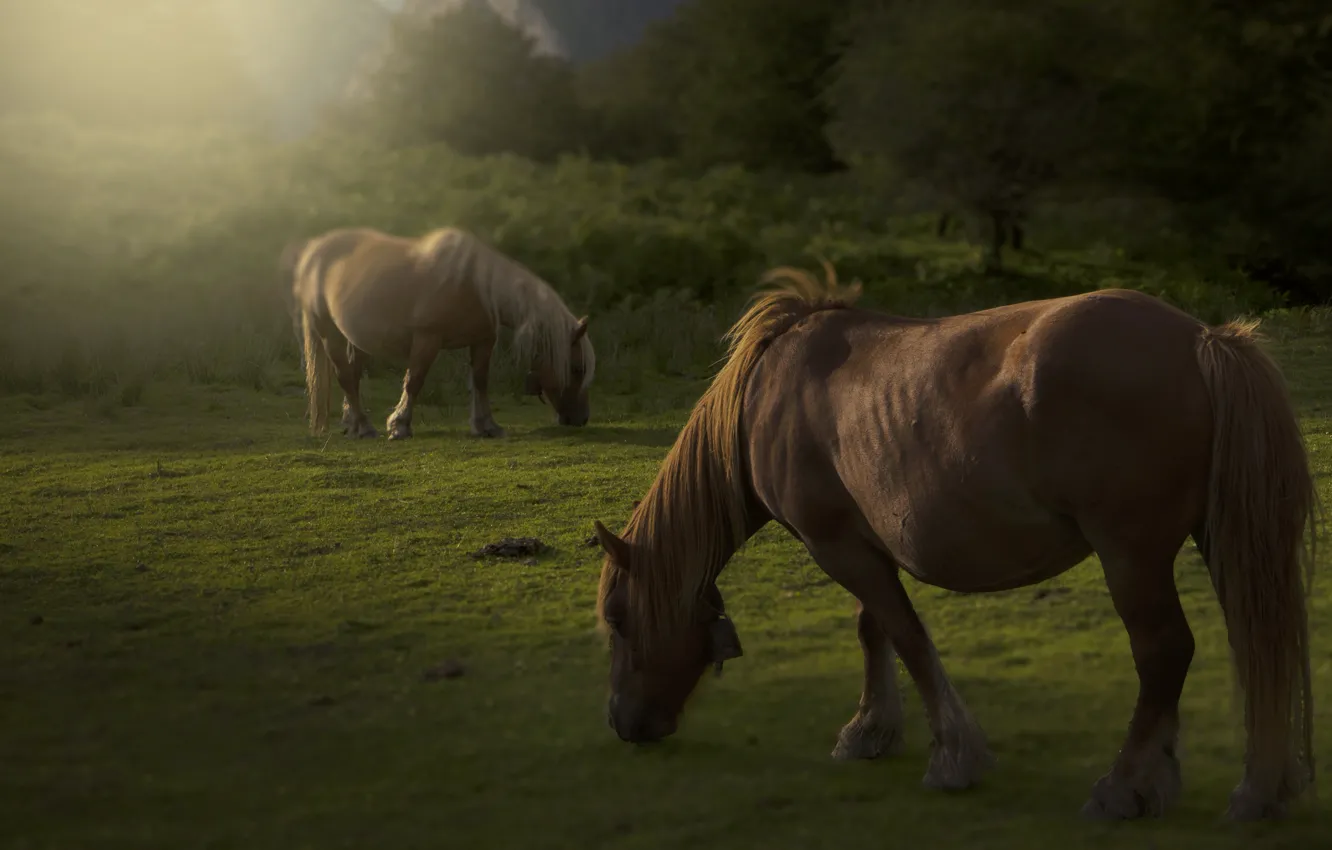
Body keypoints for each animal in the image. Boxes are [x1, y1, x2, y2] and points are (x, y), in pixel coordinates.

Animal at [282, 226, 595, 440]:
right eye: (577, 368)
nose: (580, 419)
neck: (473, 283)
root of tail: (315, 251)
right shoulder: (427, 340)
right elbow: (414, 381)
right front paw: (399, 426)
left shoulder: (483, 341)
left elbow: (480, 382)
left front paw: (487, 426)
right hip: (327, 332)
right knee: (345, 376)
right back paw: (366, 427)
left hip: (355, 339)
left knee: (354, 375)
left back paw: (353, 424)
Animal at [591, 264, 1317, 821]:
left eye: (620, 619)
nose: (624, 724)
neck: (766, 396)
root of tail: (1201, 339)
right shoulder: (861, 544)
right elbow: (874, 631)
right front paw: (871, 730)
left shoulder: (837, 545)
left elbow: (908, 637)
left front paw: (952, 757)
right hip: (1217, 541)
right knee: (1254, 639)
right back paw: (1257, 788)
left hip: (1131, 556)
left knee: (1165, 652)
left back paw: (1124, 787)